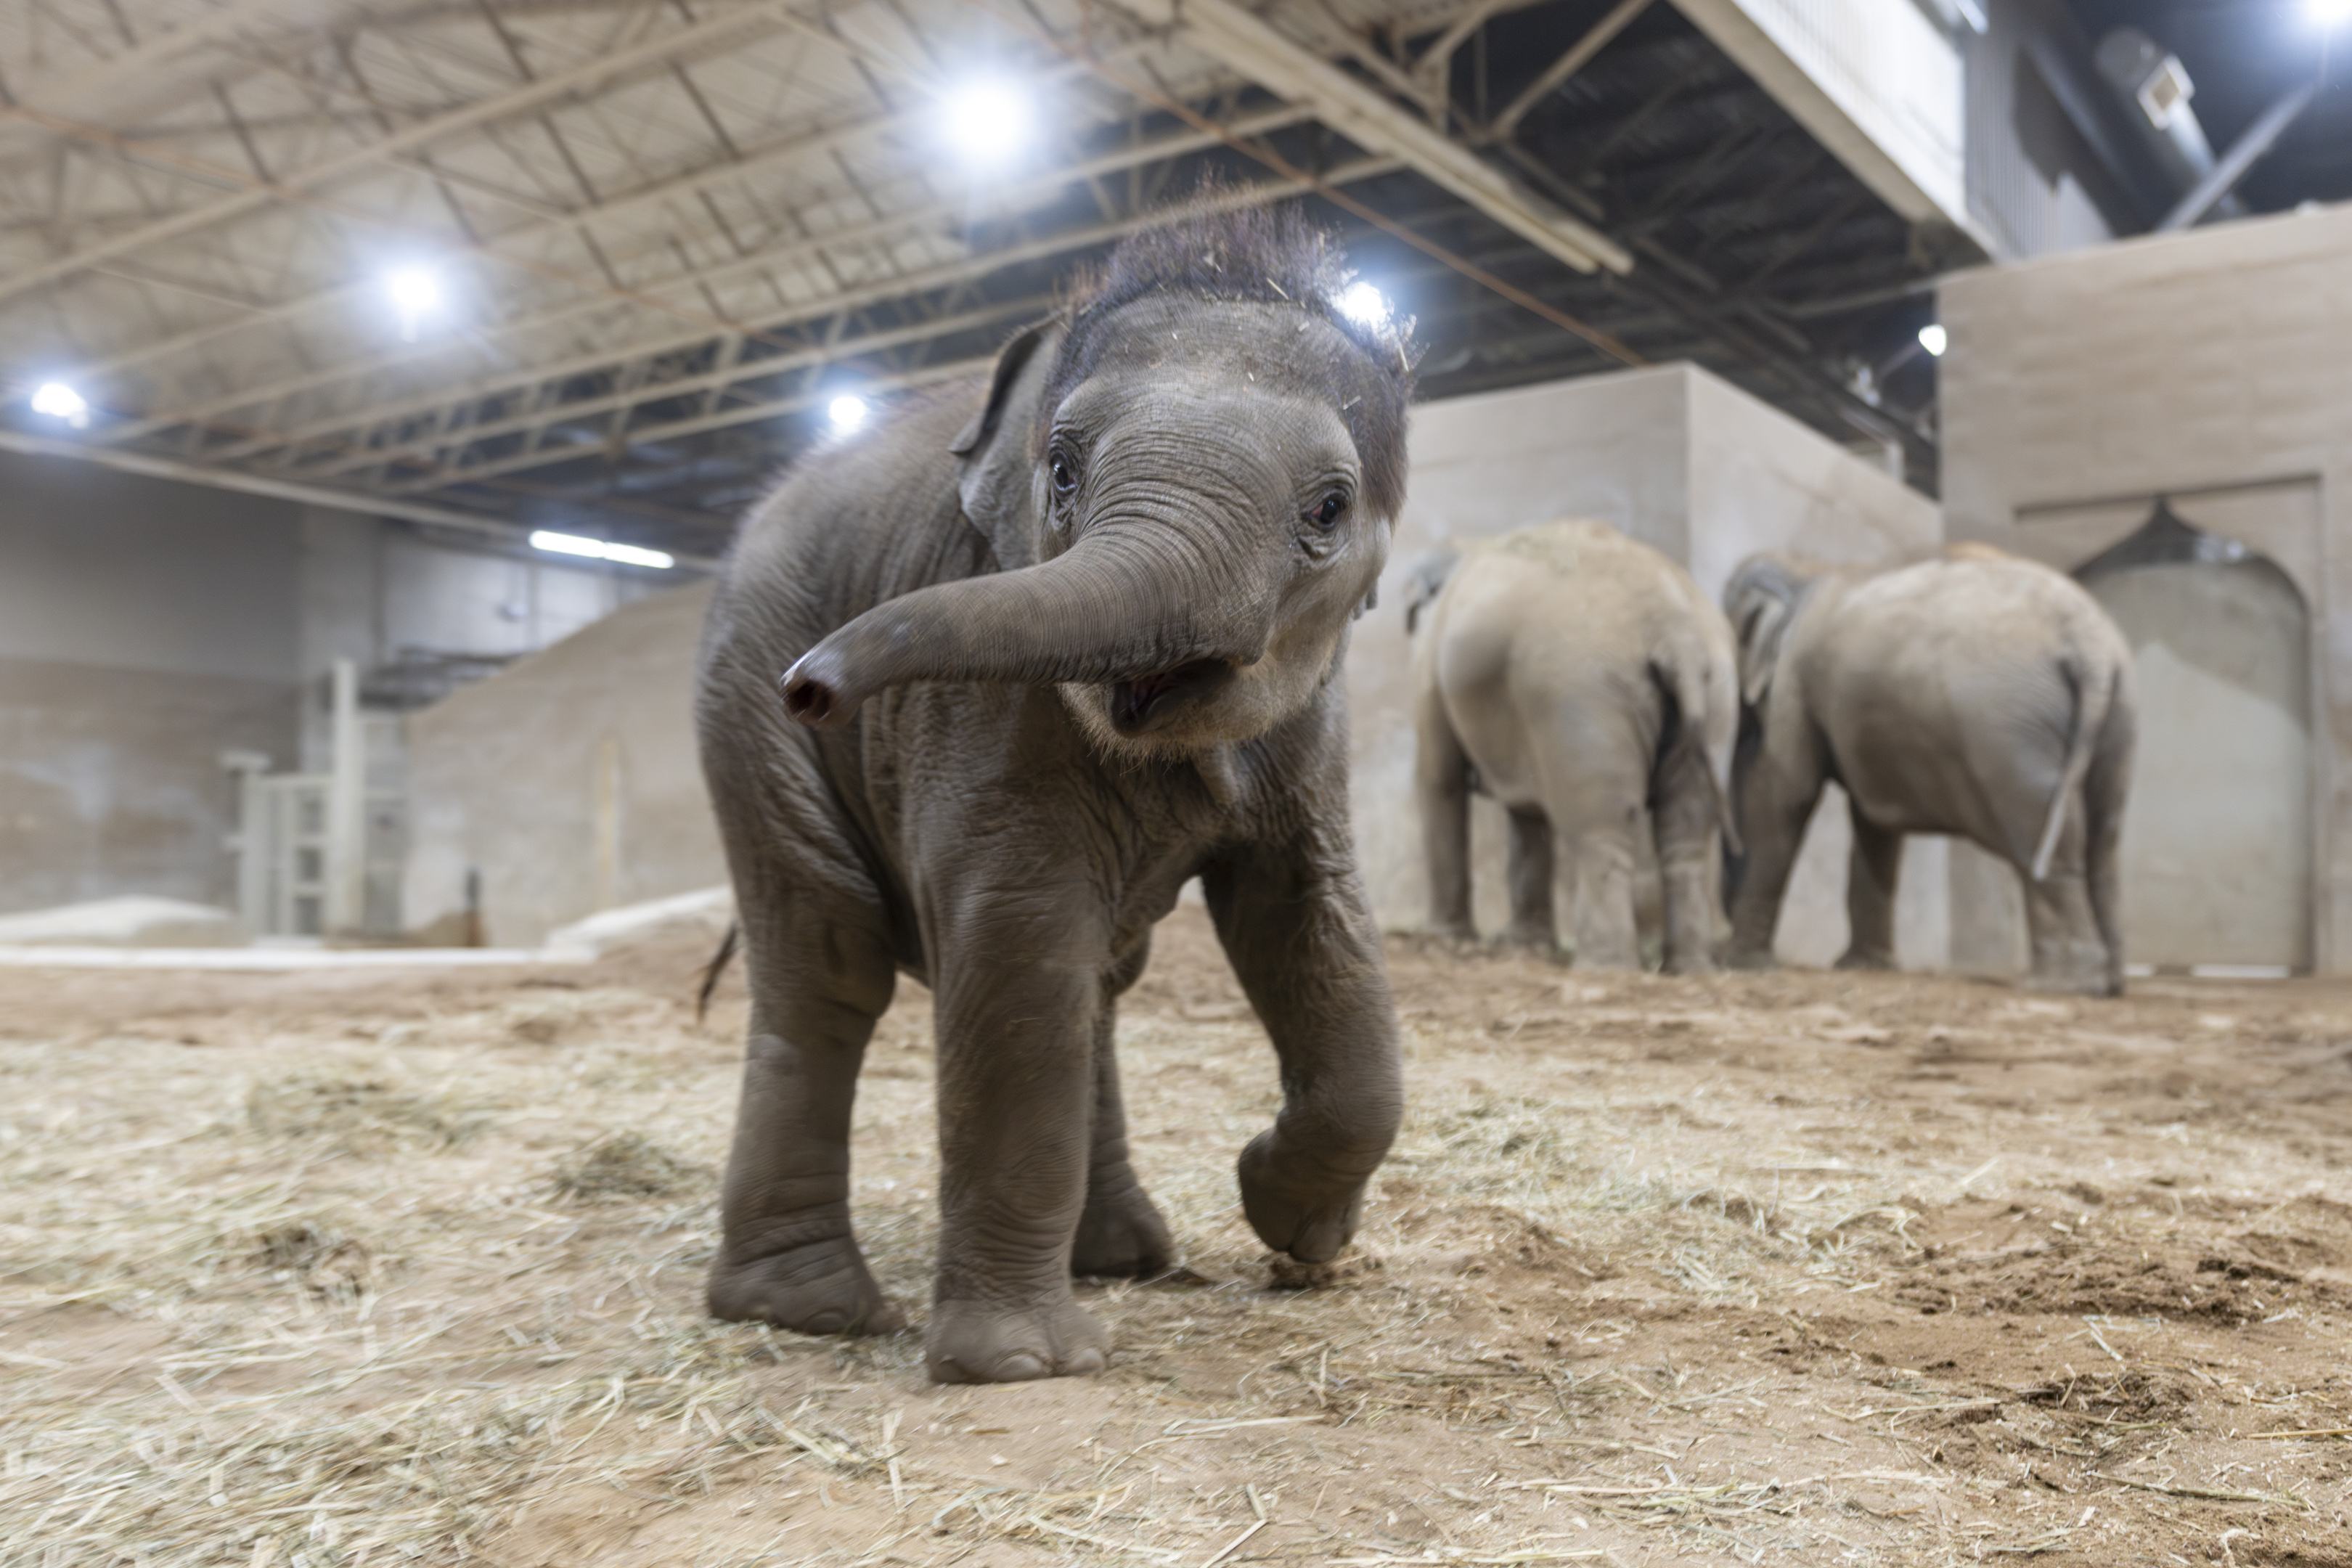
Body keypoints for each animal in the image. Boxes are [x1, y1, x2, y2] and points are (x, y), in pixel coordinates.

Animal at [694, 205, 1410, 1384]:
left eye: (1329, 508)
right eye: (1063, 473)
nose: (813, 689)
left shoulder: (1314, 722)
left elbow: (1310, 920)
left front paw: (1294, 1231)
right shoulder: (980, 691)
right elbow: (1016, 935)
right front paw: (1025, 1367)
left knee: (1098, 981)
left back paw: (1124, 1260)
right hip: (739, 710)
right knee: (828, 963)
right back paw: (812, 1313)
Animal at [1405, 521, 1739, 972]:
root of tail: (1675, 631)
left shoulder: (1431, 671)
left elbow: (1439, 780)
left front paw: (1444, 936)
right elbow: (1525, 812)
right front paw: (1522, 943)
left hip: (1585, 694)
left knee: (1603, 823)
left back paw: (1603, 967)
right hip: (1715, 692)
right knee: (1687, 827)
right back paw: (1689, 968)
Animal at [1721, 547, 2136, 994]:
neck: (1806, 570)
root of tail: (2089, 644)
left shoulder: (1791, 680)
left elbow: (1782, 794)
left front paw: (1743, 964)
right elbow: (1872, 824)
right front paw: (1866, 967)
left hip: (2012, 733)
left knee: (2037, 834)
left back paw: (2058, 985)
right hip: (2116, 718)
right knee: (2103, 835)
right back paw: (2109, 983)